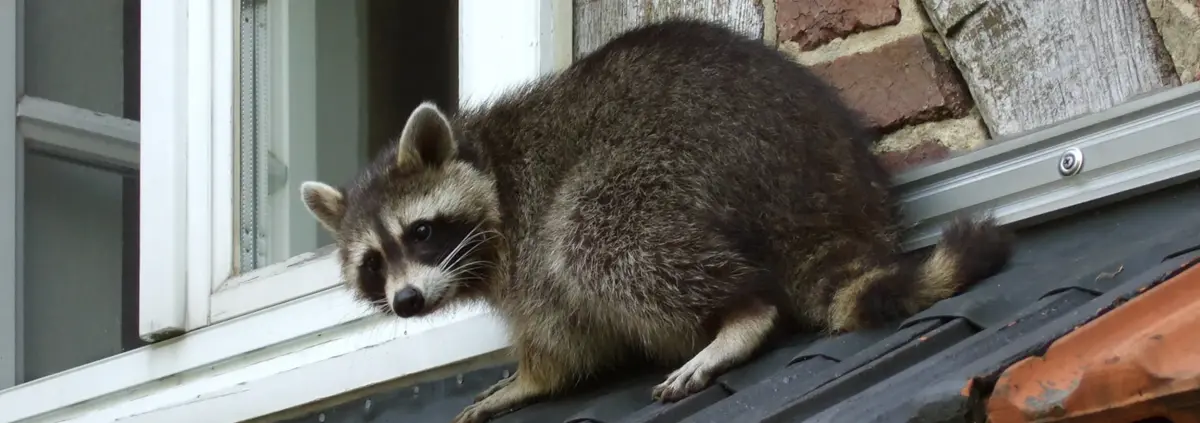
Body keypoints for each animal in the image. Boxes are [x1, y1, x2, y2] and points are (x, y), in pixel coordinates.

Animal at [300, 19, 1013, 423]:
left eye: (420, 233)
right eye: (373, 264)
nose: (407, 302)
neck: (487, 160)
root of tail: (822, 191)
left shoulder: (525, 235)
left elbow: (560, 334)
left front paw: (531, 379)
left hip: (682, 161)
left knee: (594, 238)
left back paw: (739, 314)